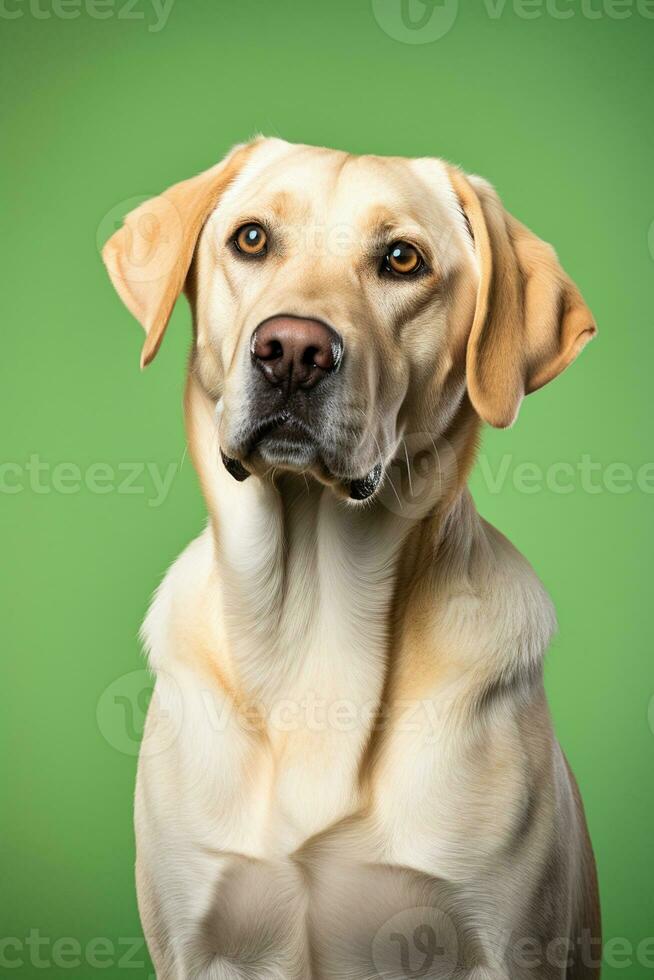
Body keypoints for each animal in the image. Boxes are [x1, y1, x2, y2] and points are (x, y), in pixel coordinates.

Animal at [105, 140, 604, 980]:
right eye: (250, 238)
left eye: (403, 259)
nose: (293, 352)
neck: (313, 618)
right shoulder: (193, 938)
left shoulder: (506, 948)